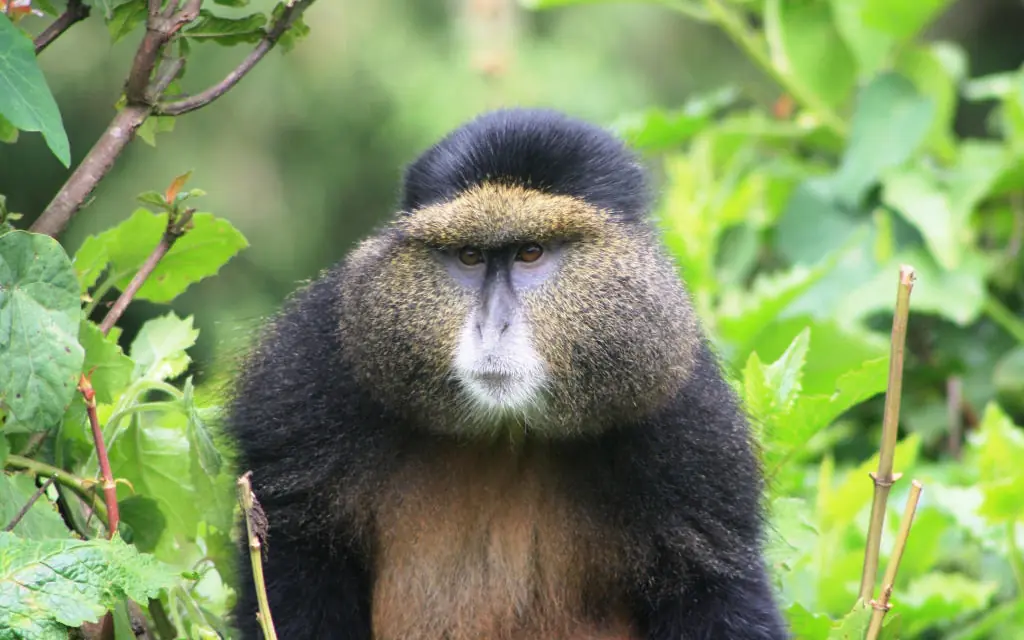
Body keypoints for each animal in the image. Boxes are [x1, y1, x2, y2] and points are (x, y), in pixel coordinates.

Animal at [224, 107, 790, 640]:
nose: (491, 325)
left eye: (530, 252)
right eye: (470, 256)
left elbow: (718, 593)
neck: (504, 432)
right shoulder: (308, 380)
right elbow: (293, 559)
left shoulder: (697, 441)